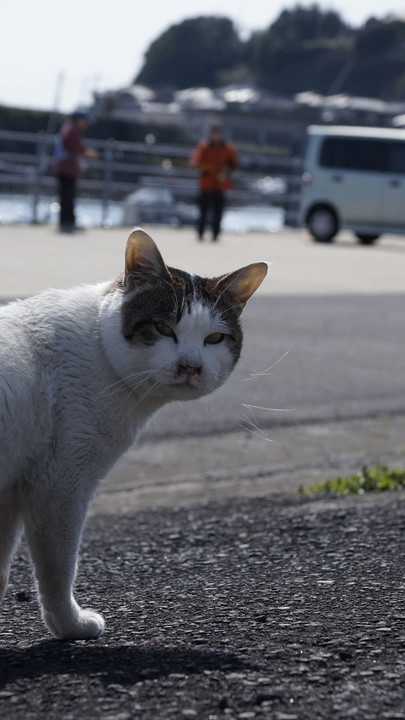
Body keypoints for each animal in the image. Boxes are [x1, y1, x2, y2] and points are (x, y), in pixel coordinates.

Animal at [0, 228, 266, 640]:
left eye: (213, 339)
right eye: (164, 329)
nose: (190, 365)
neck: (98, 349)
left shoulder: (12, 492)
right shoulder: (59, 486)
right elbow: (59, 568)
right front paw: (70, 624)